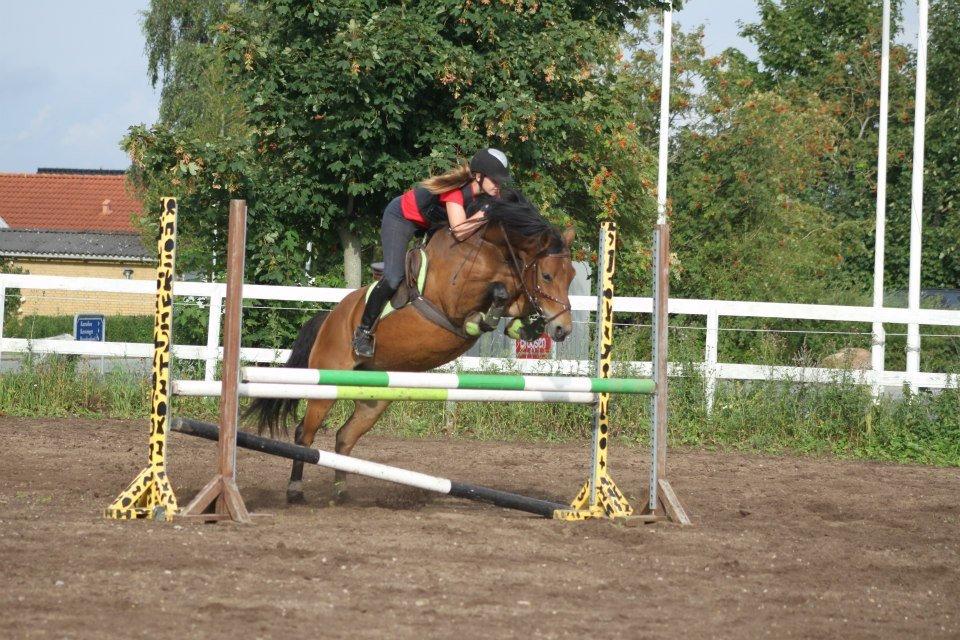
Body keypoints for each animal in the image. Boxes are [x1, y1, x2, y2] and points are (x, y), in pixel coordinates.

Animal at [248, 190, 576, 504]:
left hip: (374, 397)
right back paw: (295, 491)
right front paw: (484, 320)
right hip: (327, 381)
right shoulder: (454, 300)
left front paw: (524, 326)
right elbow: (501, 290)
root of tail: (329, 318)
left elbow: (517, 295)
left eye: (571, 276)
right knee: (305, 434)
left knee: (344, 437)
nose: (563, 330)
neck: (487, 249)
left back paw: (341, 493)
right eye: (547, 275)